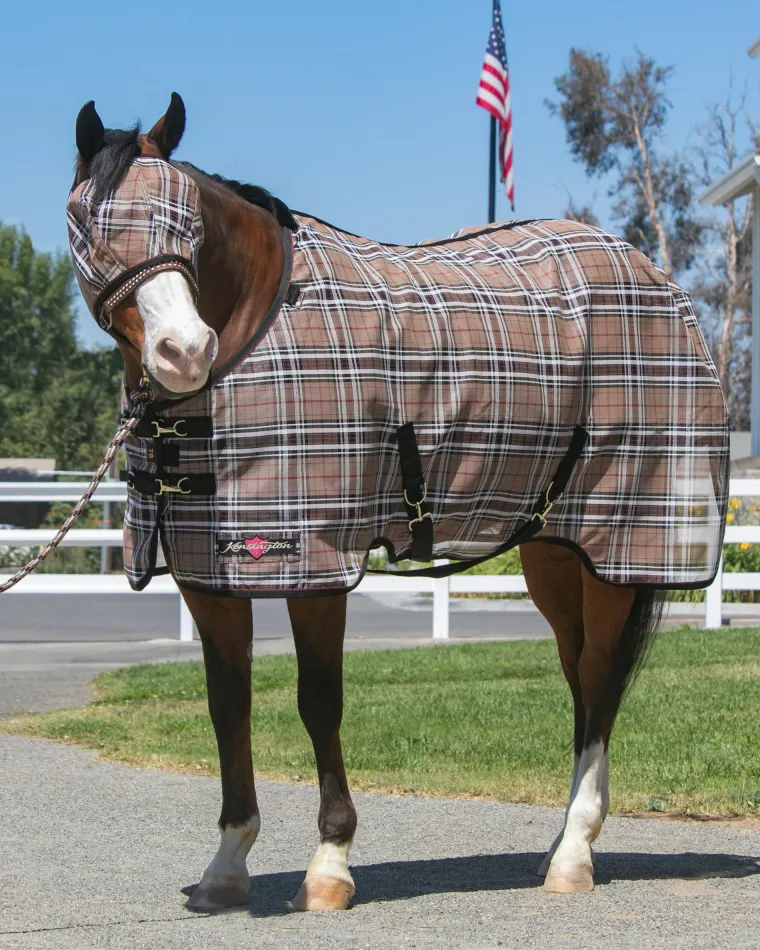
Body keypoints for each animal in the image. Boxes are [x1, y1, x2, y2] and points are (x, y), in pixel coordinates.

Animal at [66, 94, 728, 910]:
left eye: (188, 224)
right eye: (88, 224)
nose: (184, 351)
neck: (259, 330)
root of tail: (652, 275)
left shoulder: (315, 564)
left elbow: (319, 702)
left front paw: (329, 865)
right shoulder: (207, 574)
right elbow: (229, 706)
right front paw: (227, 866)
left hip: (619, 549)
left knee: (601, 681)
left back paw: (573, 856)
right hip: (555, 551)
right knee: (579, 678)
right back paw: (563, 841)